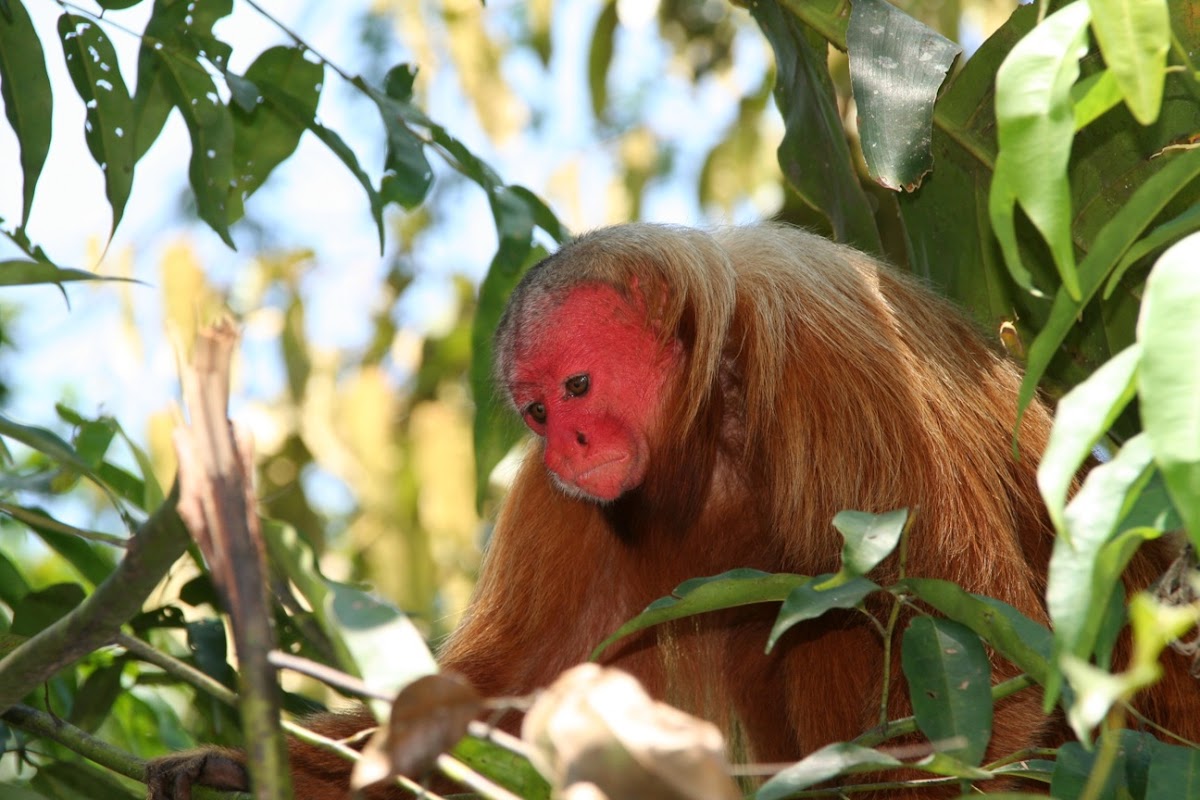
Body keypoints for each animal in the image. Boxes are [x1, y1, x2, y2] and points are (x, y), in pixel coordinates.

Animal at [147, 225, 1190, 800]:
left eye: (579, 386)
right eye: (537, 410)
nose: (571, 445)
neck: (715, 411)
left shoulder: (843, 370)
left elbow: (984, 666)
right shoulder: (561, 507)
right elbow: (498, 702)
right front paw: (238, 765)